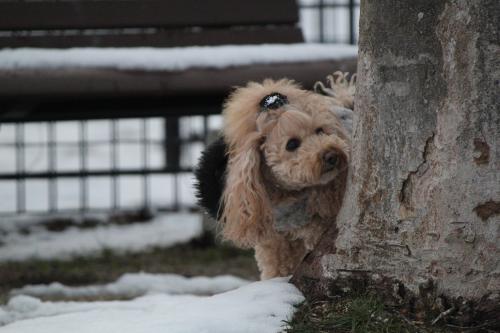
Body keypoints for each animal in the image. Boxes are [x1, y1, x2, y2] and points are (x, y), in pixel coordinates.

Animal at [195, 72, 356, 278]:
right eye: (292, 144)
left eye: (320, 130)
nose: (332, 155)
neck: (288, 195)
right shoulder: (274, 238)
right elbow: (277, 265)